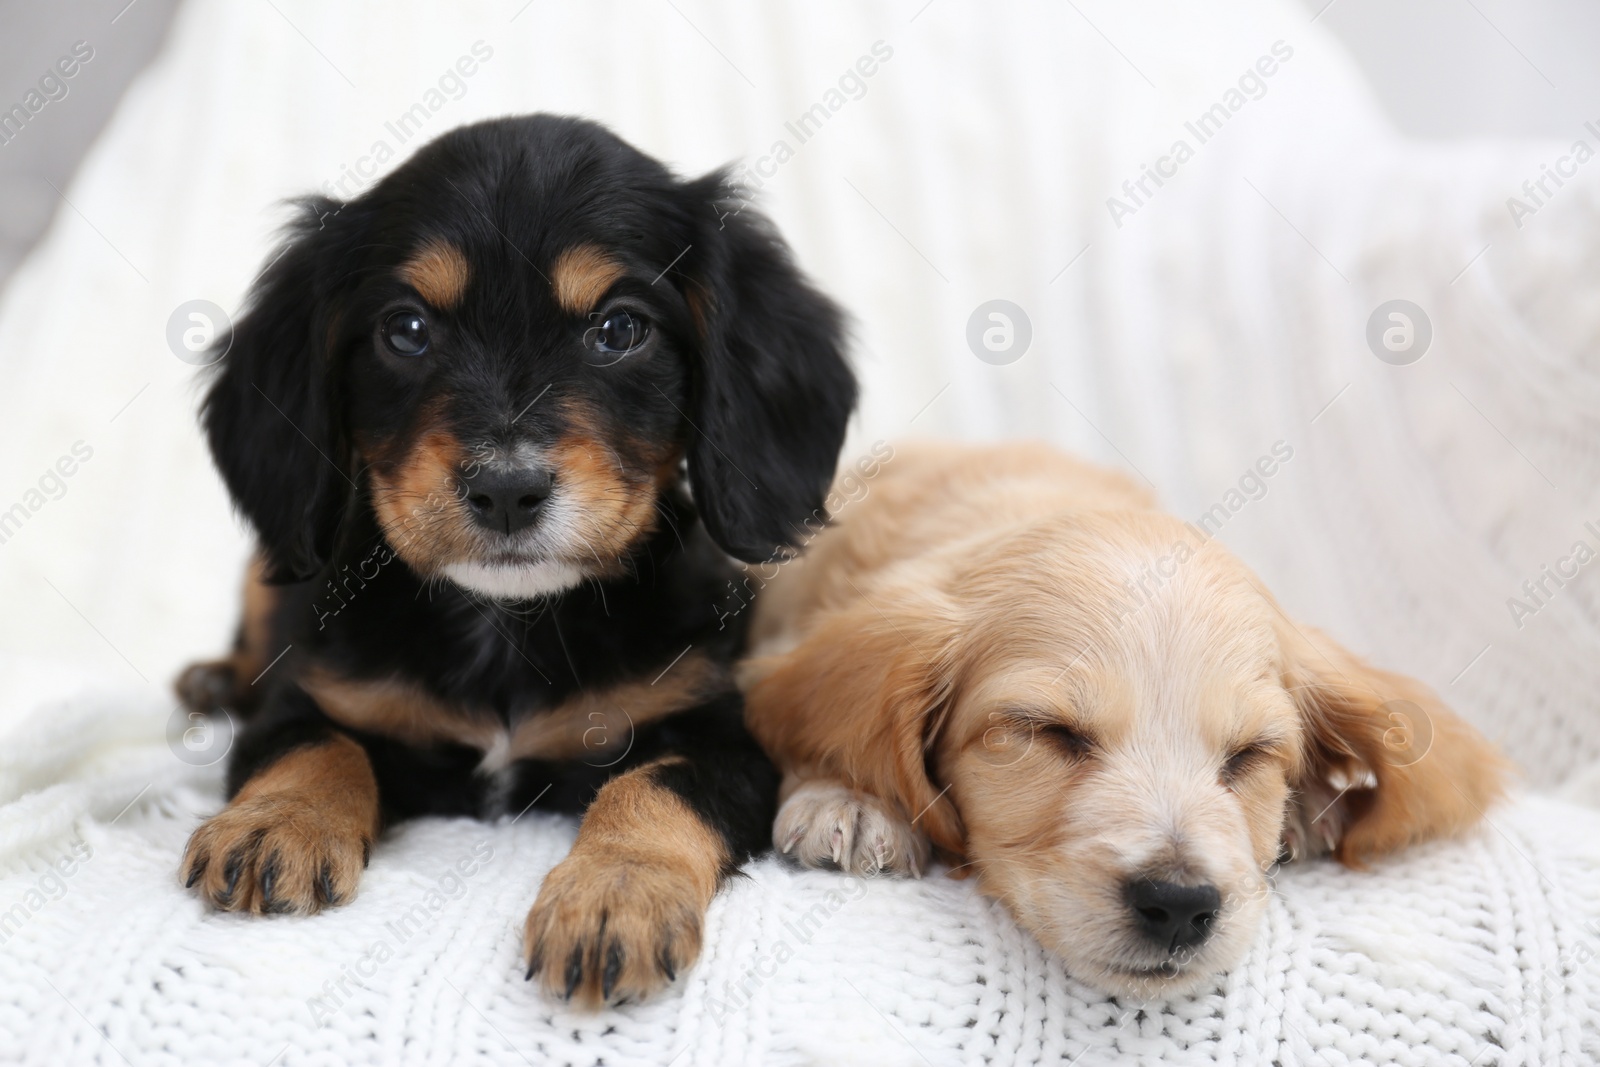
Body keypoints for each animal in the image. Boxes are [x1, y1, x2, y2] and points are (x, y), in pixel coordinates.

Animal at [170, 115, 857, 1011]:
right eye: (407, 330)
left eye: (620, 329)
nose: (504, 491)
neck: (509, 620)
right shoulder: (309, 695)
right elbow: (314, 745)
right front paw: (275, 822)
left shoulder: (721, 737)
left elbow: (652, 785)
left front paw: (615, 893)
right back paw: (213, 679)